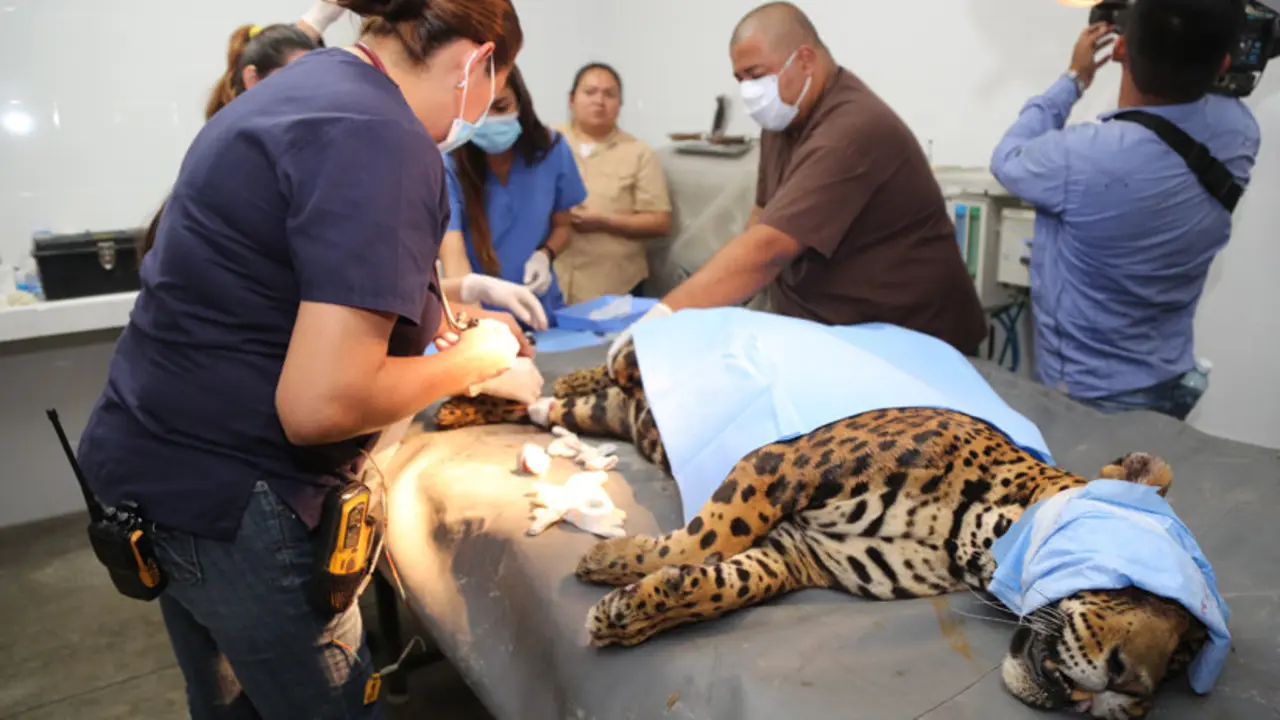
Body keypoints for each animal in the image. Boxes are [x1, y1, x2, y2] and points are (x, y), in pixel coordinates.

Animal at [433, 341, 1208, 719]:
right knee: (604, 368)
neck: (969, 538)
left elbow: (723, 581)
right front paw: (618, 563)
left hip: (601, 417)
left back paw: (468, 408)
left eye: (1179, 663)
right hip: (638, 369)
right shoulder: (782, 463)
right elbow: (707, 536)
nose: (1132, 688)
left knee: (549, 404)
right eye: (1138, 584)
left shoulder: (801, 554)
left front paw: (632, 604)